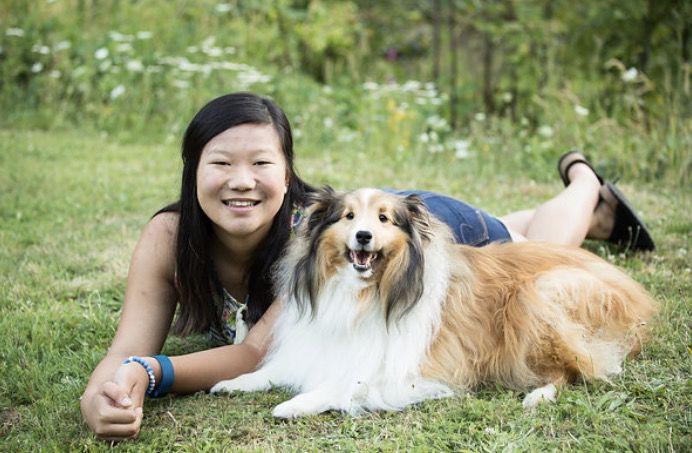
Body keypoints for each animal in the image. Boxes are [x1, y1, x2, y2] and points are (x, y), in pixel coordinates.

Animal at [212, 187, 660, 416]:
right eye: (347, 217)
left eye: (384, 219)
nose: (363, 237)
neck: (364, 293)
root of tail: (638, 295)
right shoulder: (315, 346)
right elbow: (273, 369)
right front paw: (233, 383)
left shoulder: (401, 370)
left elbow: (347, 384)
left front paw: (294, 403)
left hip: (540, 295)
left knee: (576, 370)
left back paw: (538, 394)